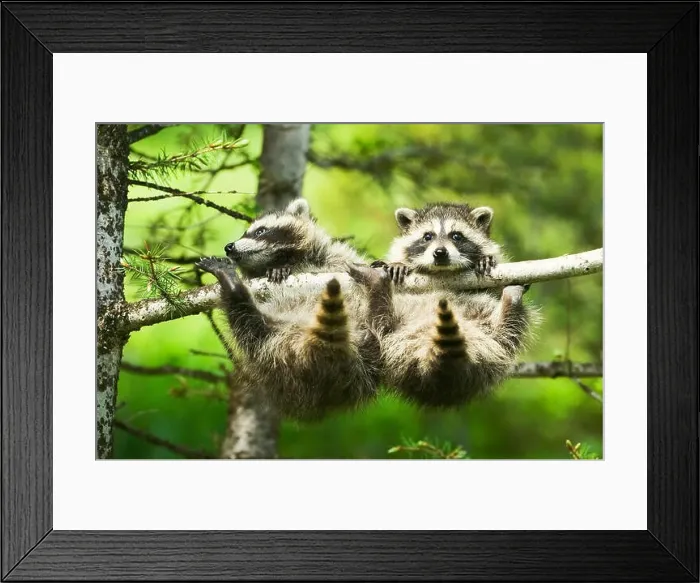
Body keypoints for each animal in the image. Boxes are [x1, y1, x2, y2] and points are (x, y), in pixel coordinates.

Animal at [196, 199, 391, 420]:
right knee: (248, 323)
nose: (229, 247)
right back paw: (233, 288)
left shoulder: (336, 257)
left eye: (260, 231)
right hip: (273, 345)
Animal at [370, 202, 534, 407]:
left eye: (456, 236)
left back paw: (511, 301)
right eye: (428, 236)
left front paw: (485, 261)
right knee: (380, 319)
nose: (440, 253)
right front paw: (397, 264)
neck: (443, 272)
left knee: (508, 330)